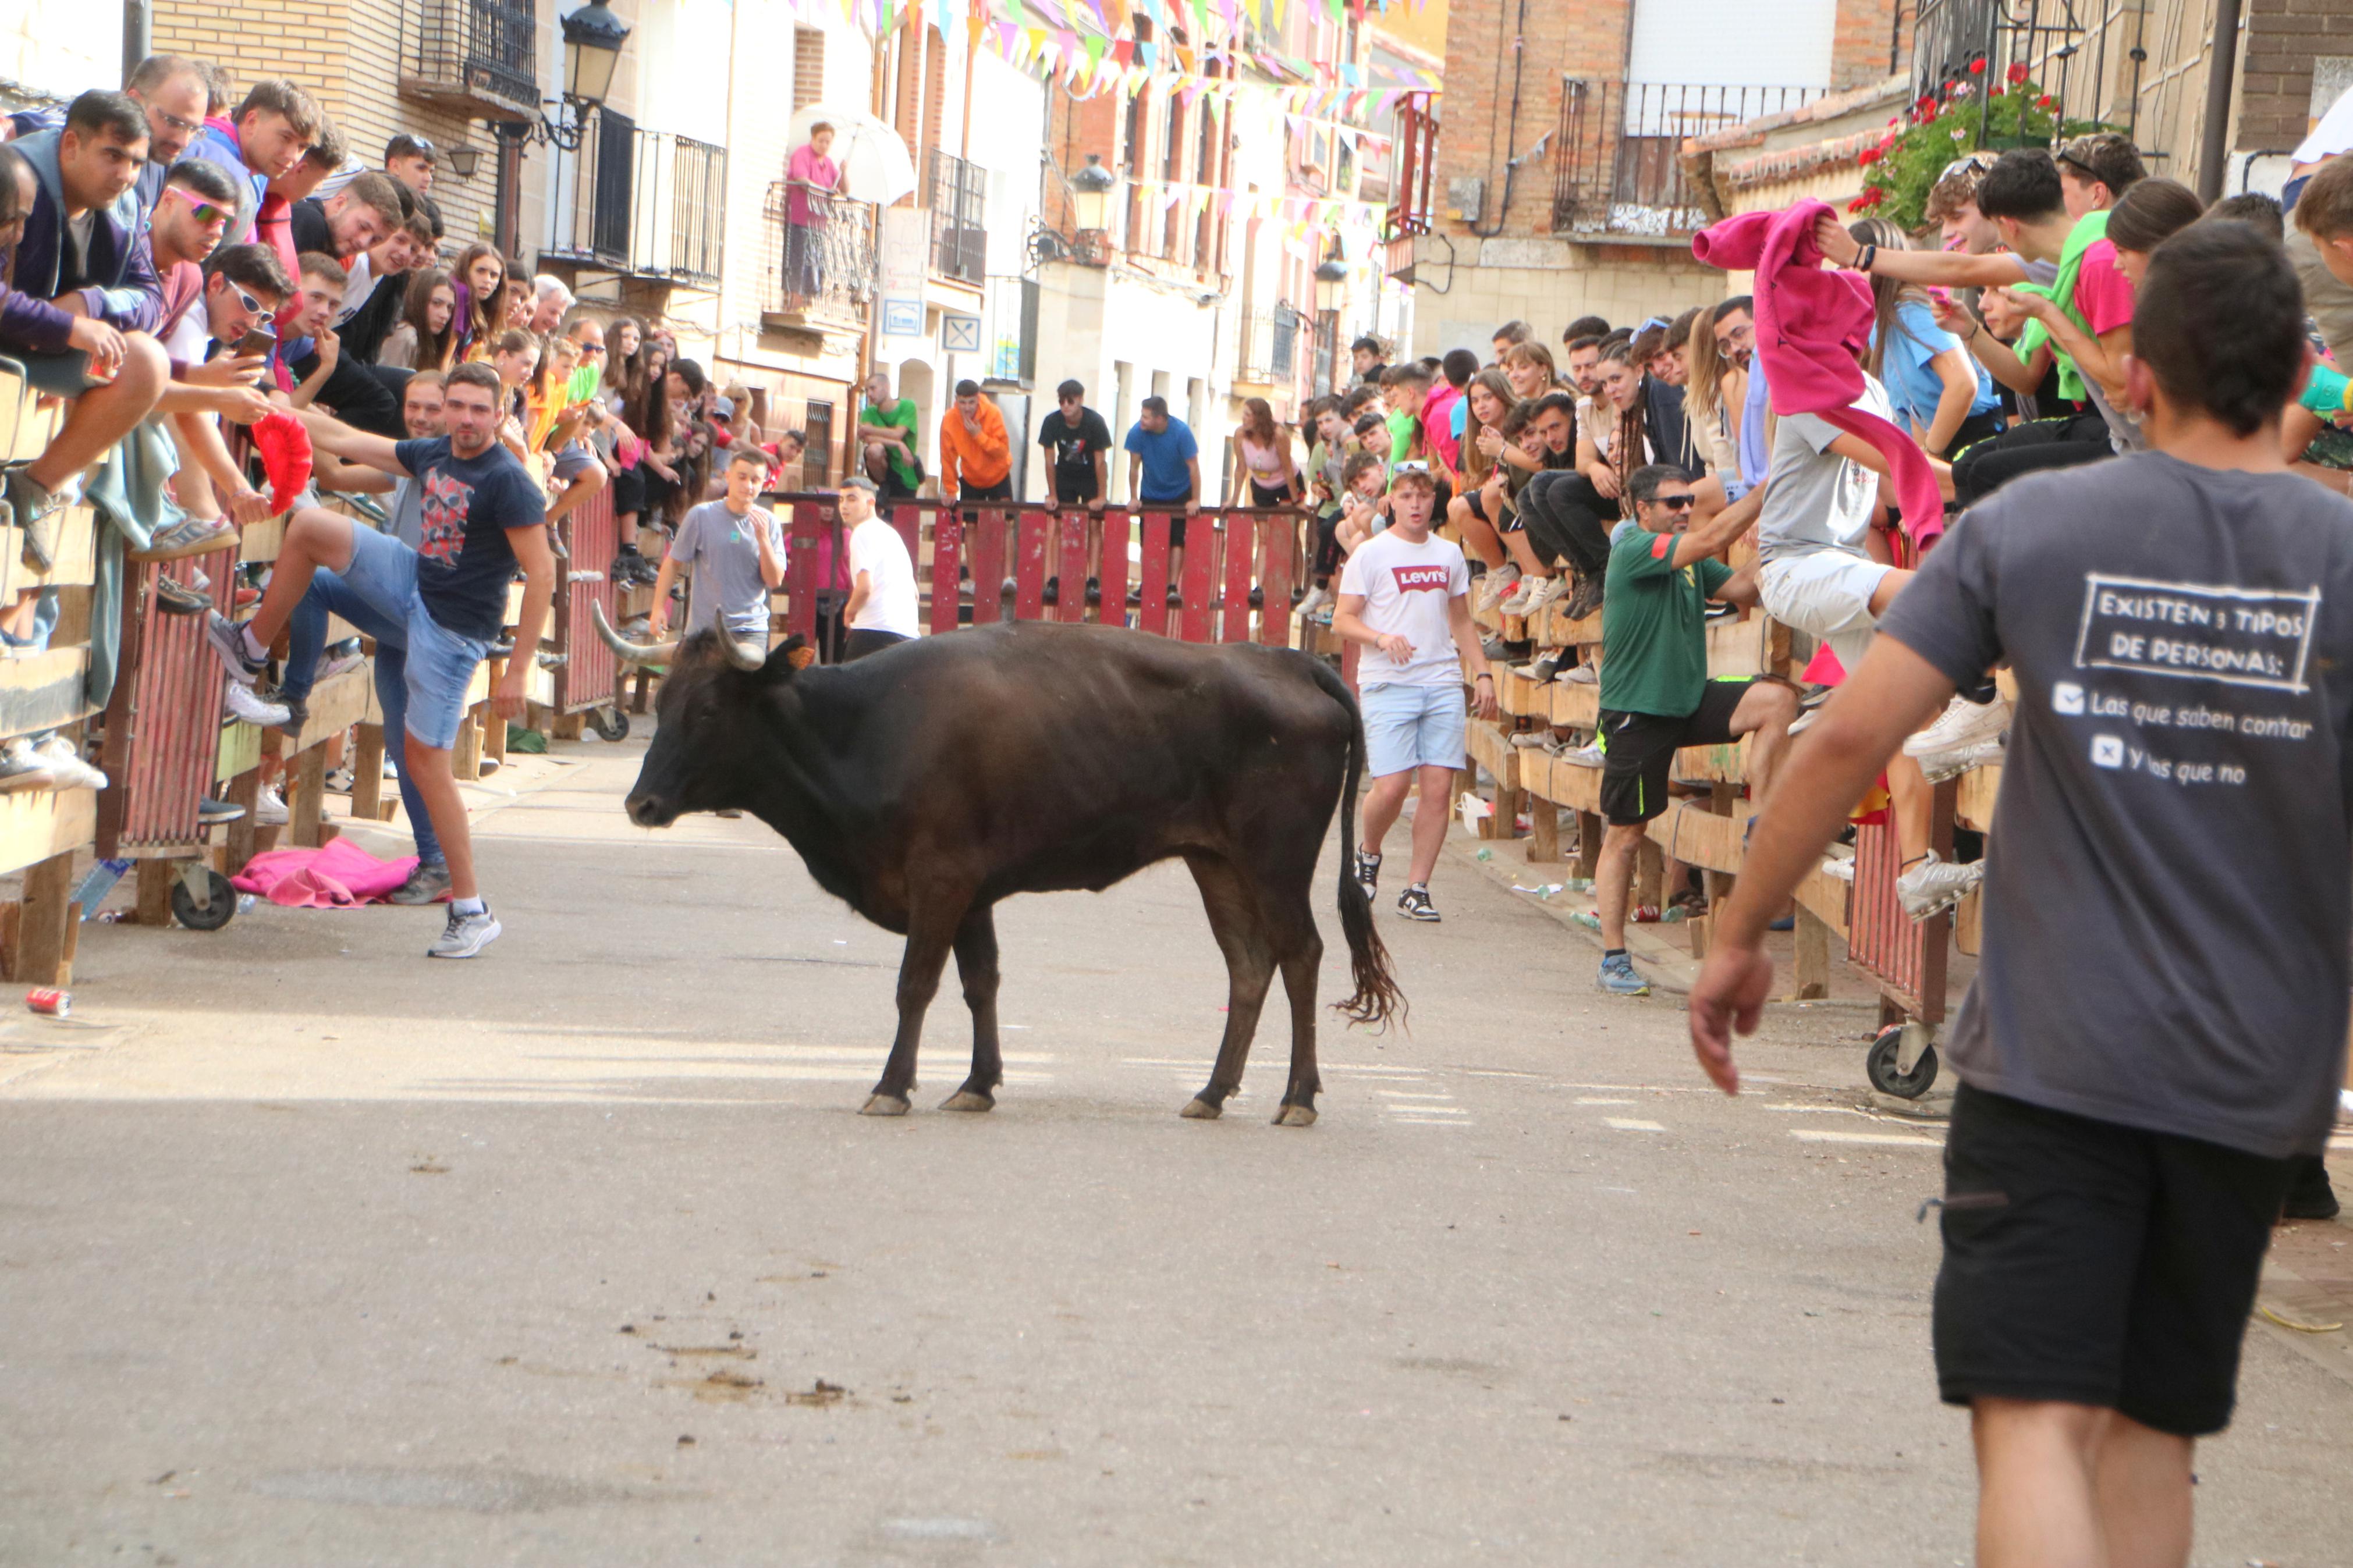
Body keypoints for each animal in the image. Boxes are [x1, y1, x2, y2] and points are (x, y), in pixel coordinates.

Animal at [616, 620, 1402, 1123]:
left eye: (708, 709)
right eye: (660, 702)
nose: (639, 802)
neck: (864, 728)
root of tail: (1286, 658)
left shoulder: (940, 880)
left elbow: (916, 985)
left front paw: (893, 1084)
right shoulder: (970, 893)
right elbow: (979, 983)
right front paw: (977, 1081)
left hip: (1275, 862)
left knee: (1300, 956)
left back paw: (1296, 1096)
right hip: (1217, 863)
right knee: (1248, 964)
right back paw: (1211, 1091)